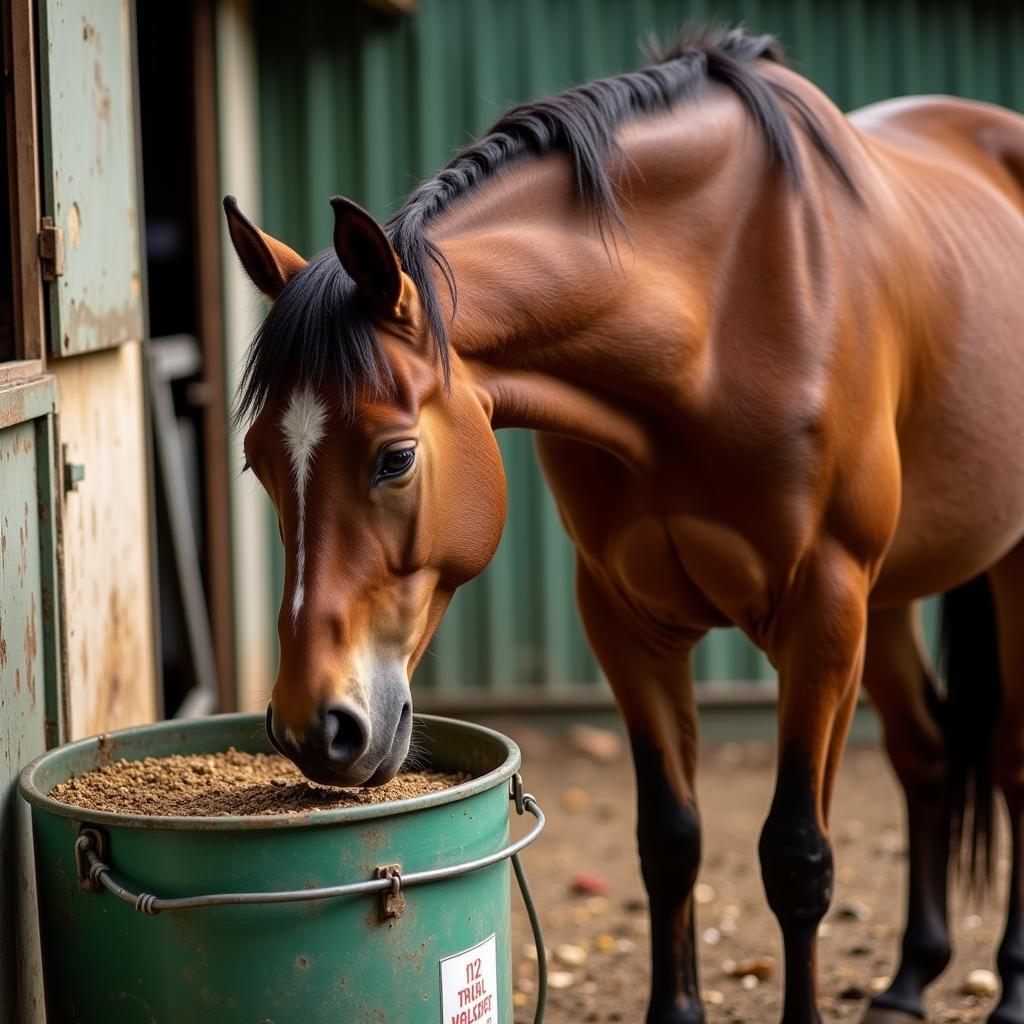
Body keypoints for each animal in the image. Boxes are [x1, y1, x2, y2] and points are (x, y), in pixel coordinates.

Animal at [224, 24, 1024, 1024]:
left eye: (395, 457)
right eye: (257, 460)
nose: (312, 728)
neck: (718, 314)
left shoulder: (824, 608)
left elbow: (797, 857)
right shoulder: (625, 619)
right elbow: (670, 840)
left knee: (1011, 765)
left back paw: (1011, 985)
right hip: (889, 605)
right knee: (925, 755)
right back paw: (913, 975)